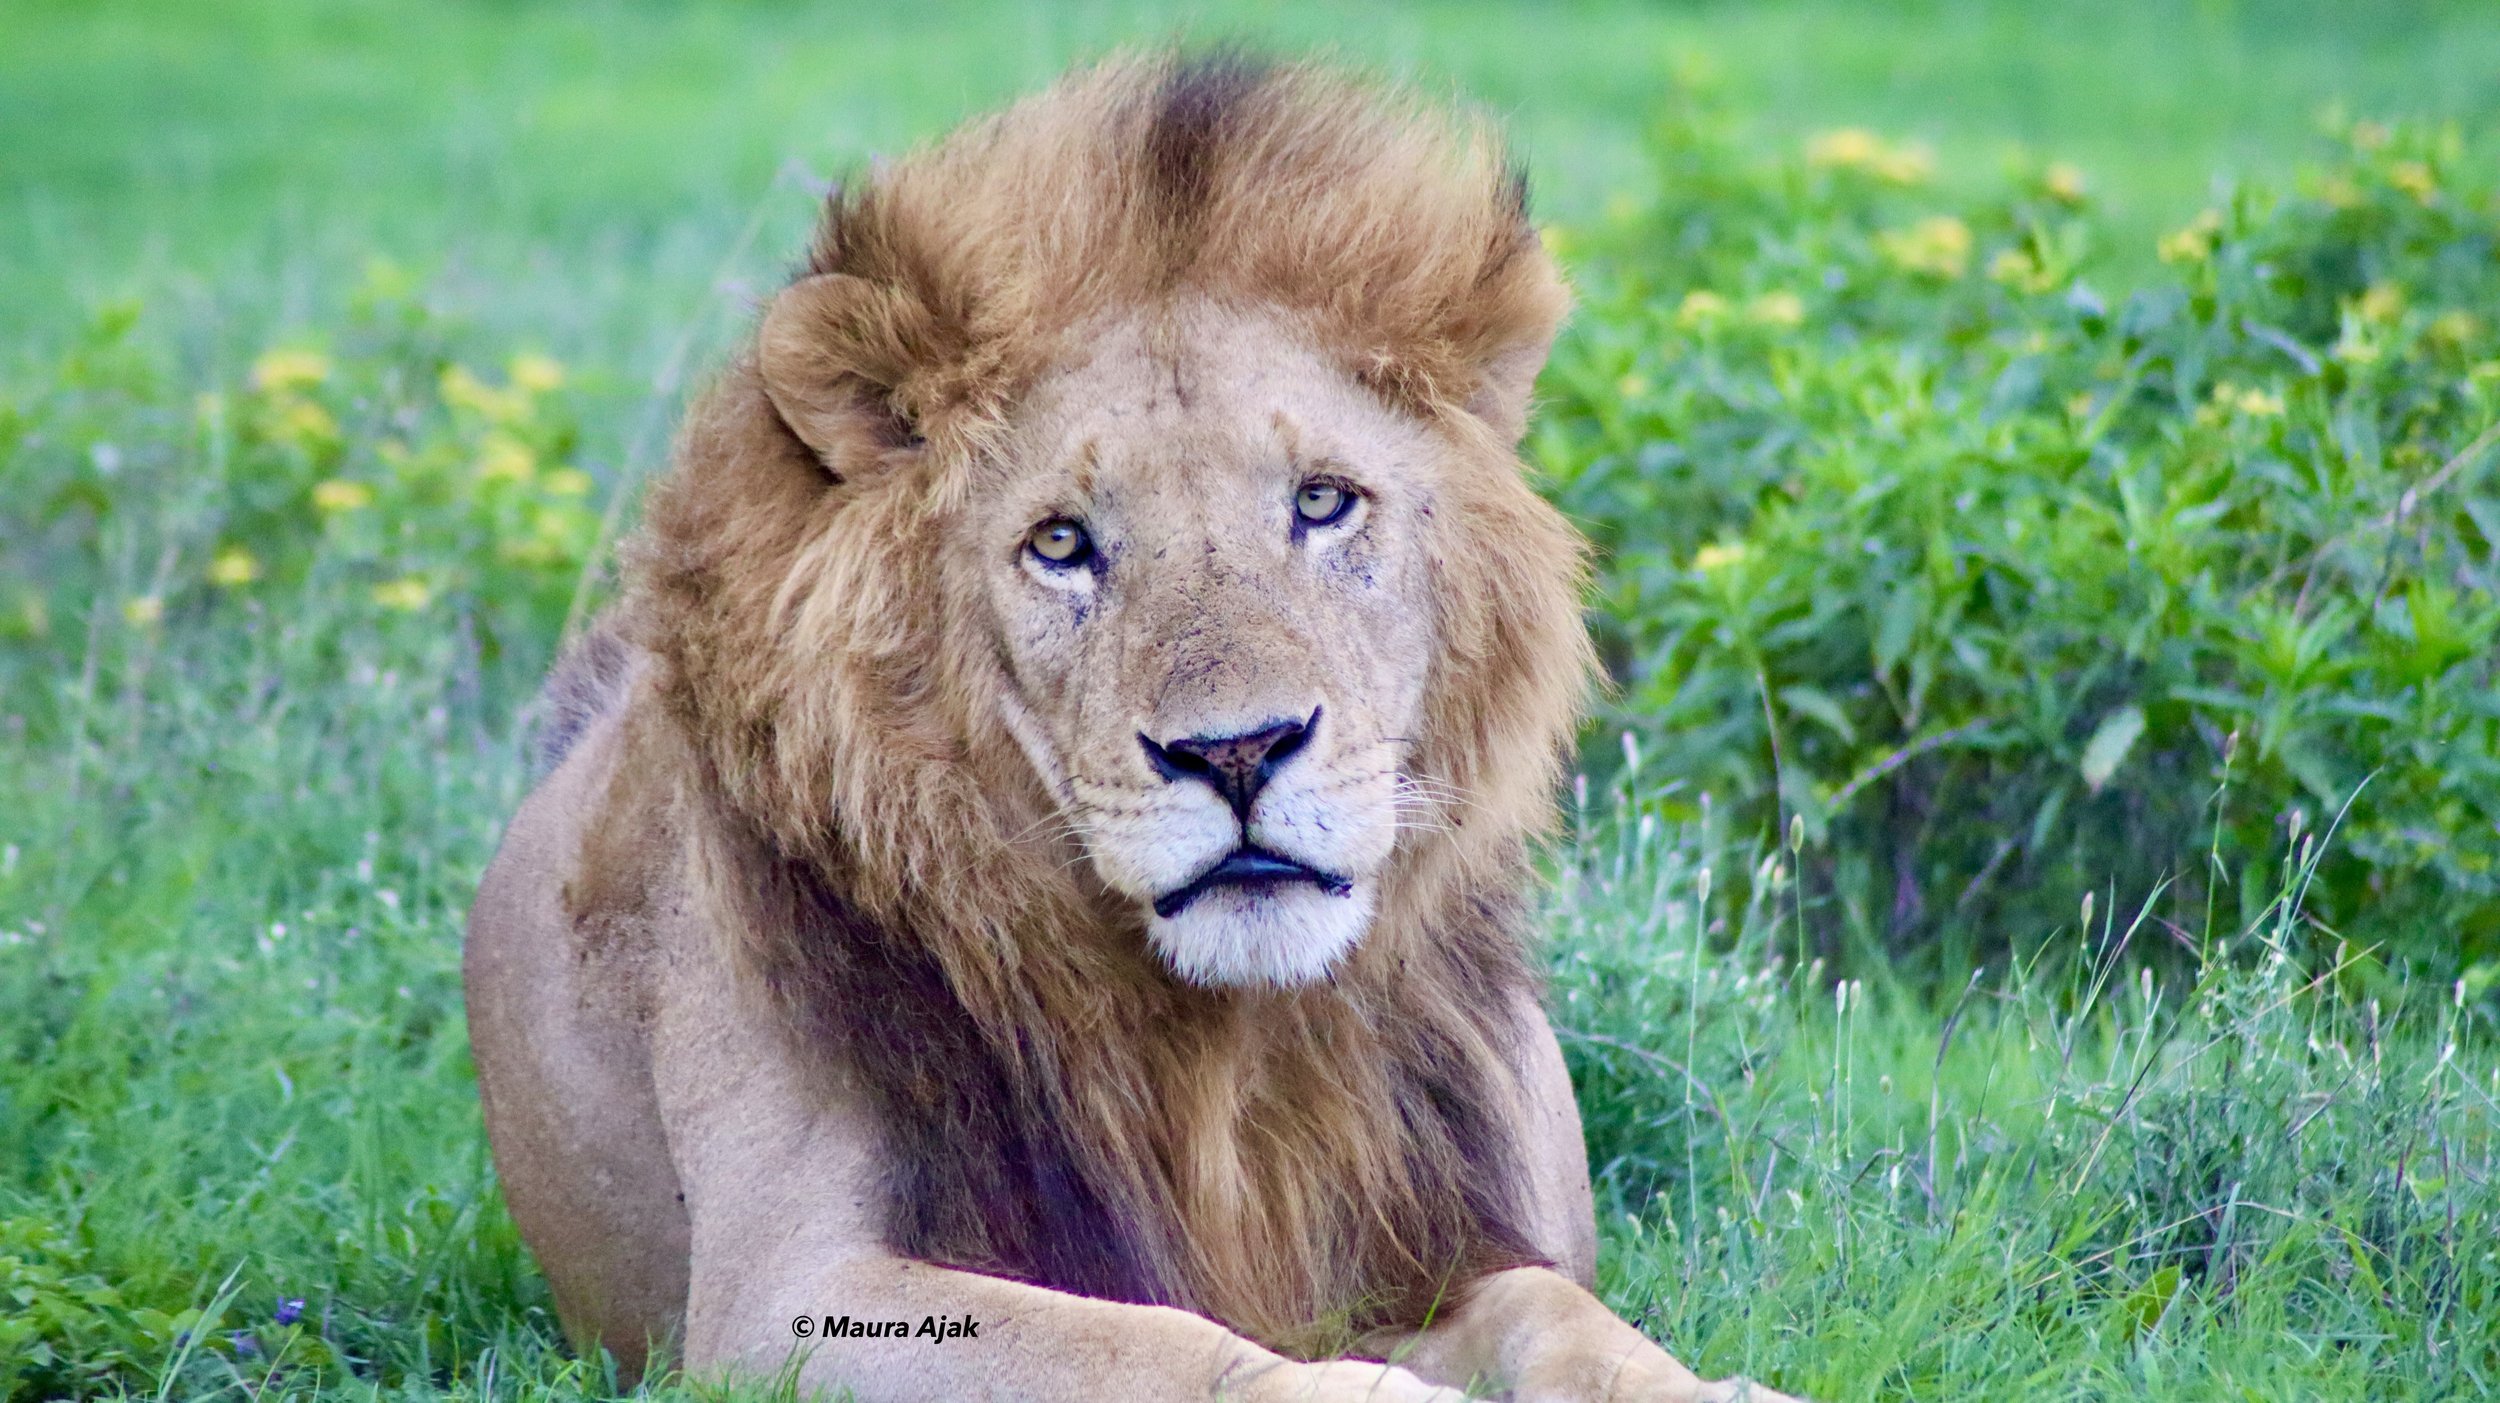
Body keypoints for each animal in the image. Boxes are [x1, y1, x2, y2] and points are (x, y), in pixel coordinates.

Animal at [464, 52, 1801, 1403]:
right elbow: (1162, 1343)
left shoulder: (1440, 1228)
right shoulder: (784, 1296)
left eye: (1322, 502)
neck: (1227, 1049)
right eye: (1061, 541)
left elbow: (1555, 1309)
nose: (1237, 753)